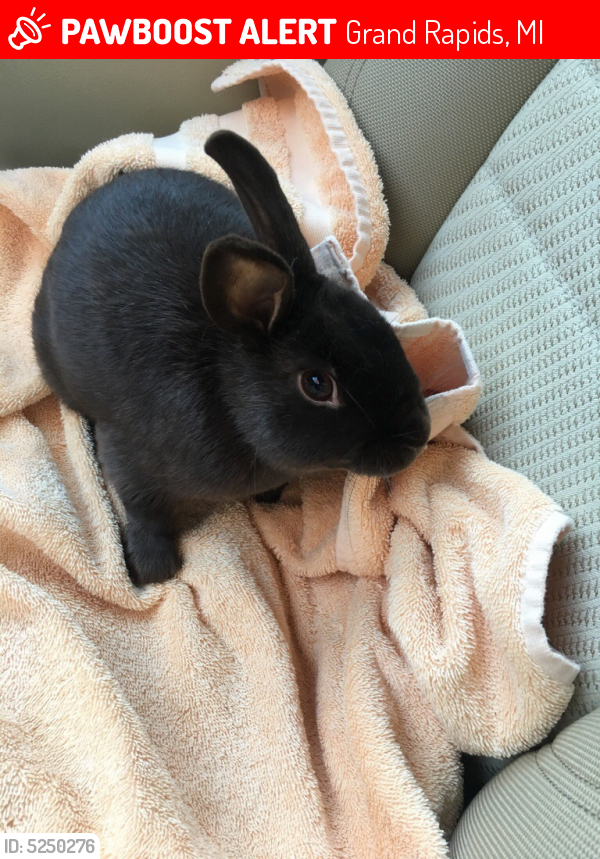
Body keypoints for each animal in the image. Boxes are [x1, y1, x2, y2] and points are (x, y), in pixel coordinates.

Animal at [33, 130, 431, 586]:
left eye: (380, 324)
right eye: (317, 384)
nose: (418, 436)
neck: (229, 394)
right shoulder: (128, 456)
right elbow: (143, 509)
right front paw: (154, 569)